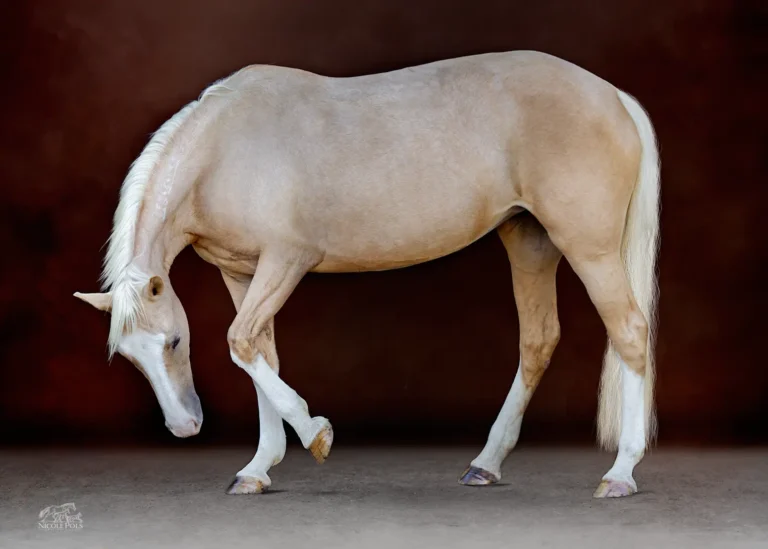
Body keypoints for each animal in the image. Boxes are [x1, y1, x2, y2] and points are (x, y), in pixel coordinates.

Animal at [75, 50, 660, 498]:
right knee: (538, 341)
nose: (184, 427)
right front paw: (258, 469)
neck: (224, 151)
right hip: (529, 241)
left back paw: (621, 473)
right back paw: (486, 464)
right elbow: (258, 354)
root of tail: (614, 96)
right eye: (129, 356)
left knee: (629, 331)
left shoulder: (286, 261)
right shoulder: (241, 274)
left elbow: (241, 343)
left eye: (174, 341)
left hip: (589, 247)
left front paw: (315, 435)